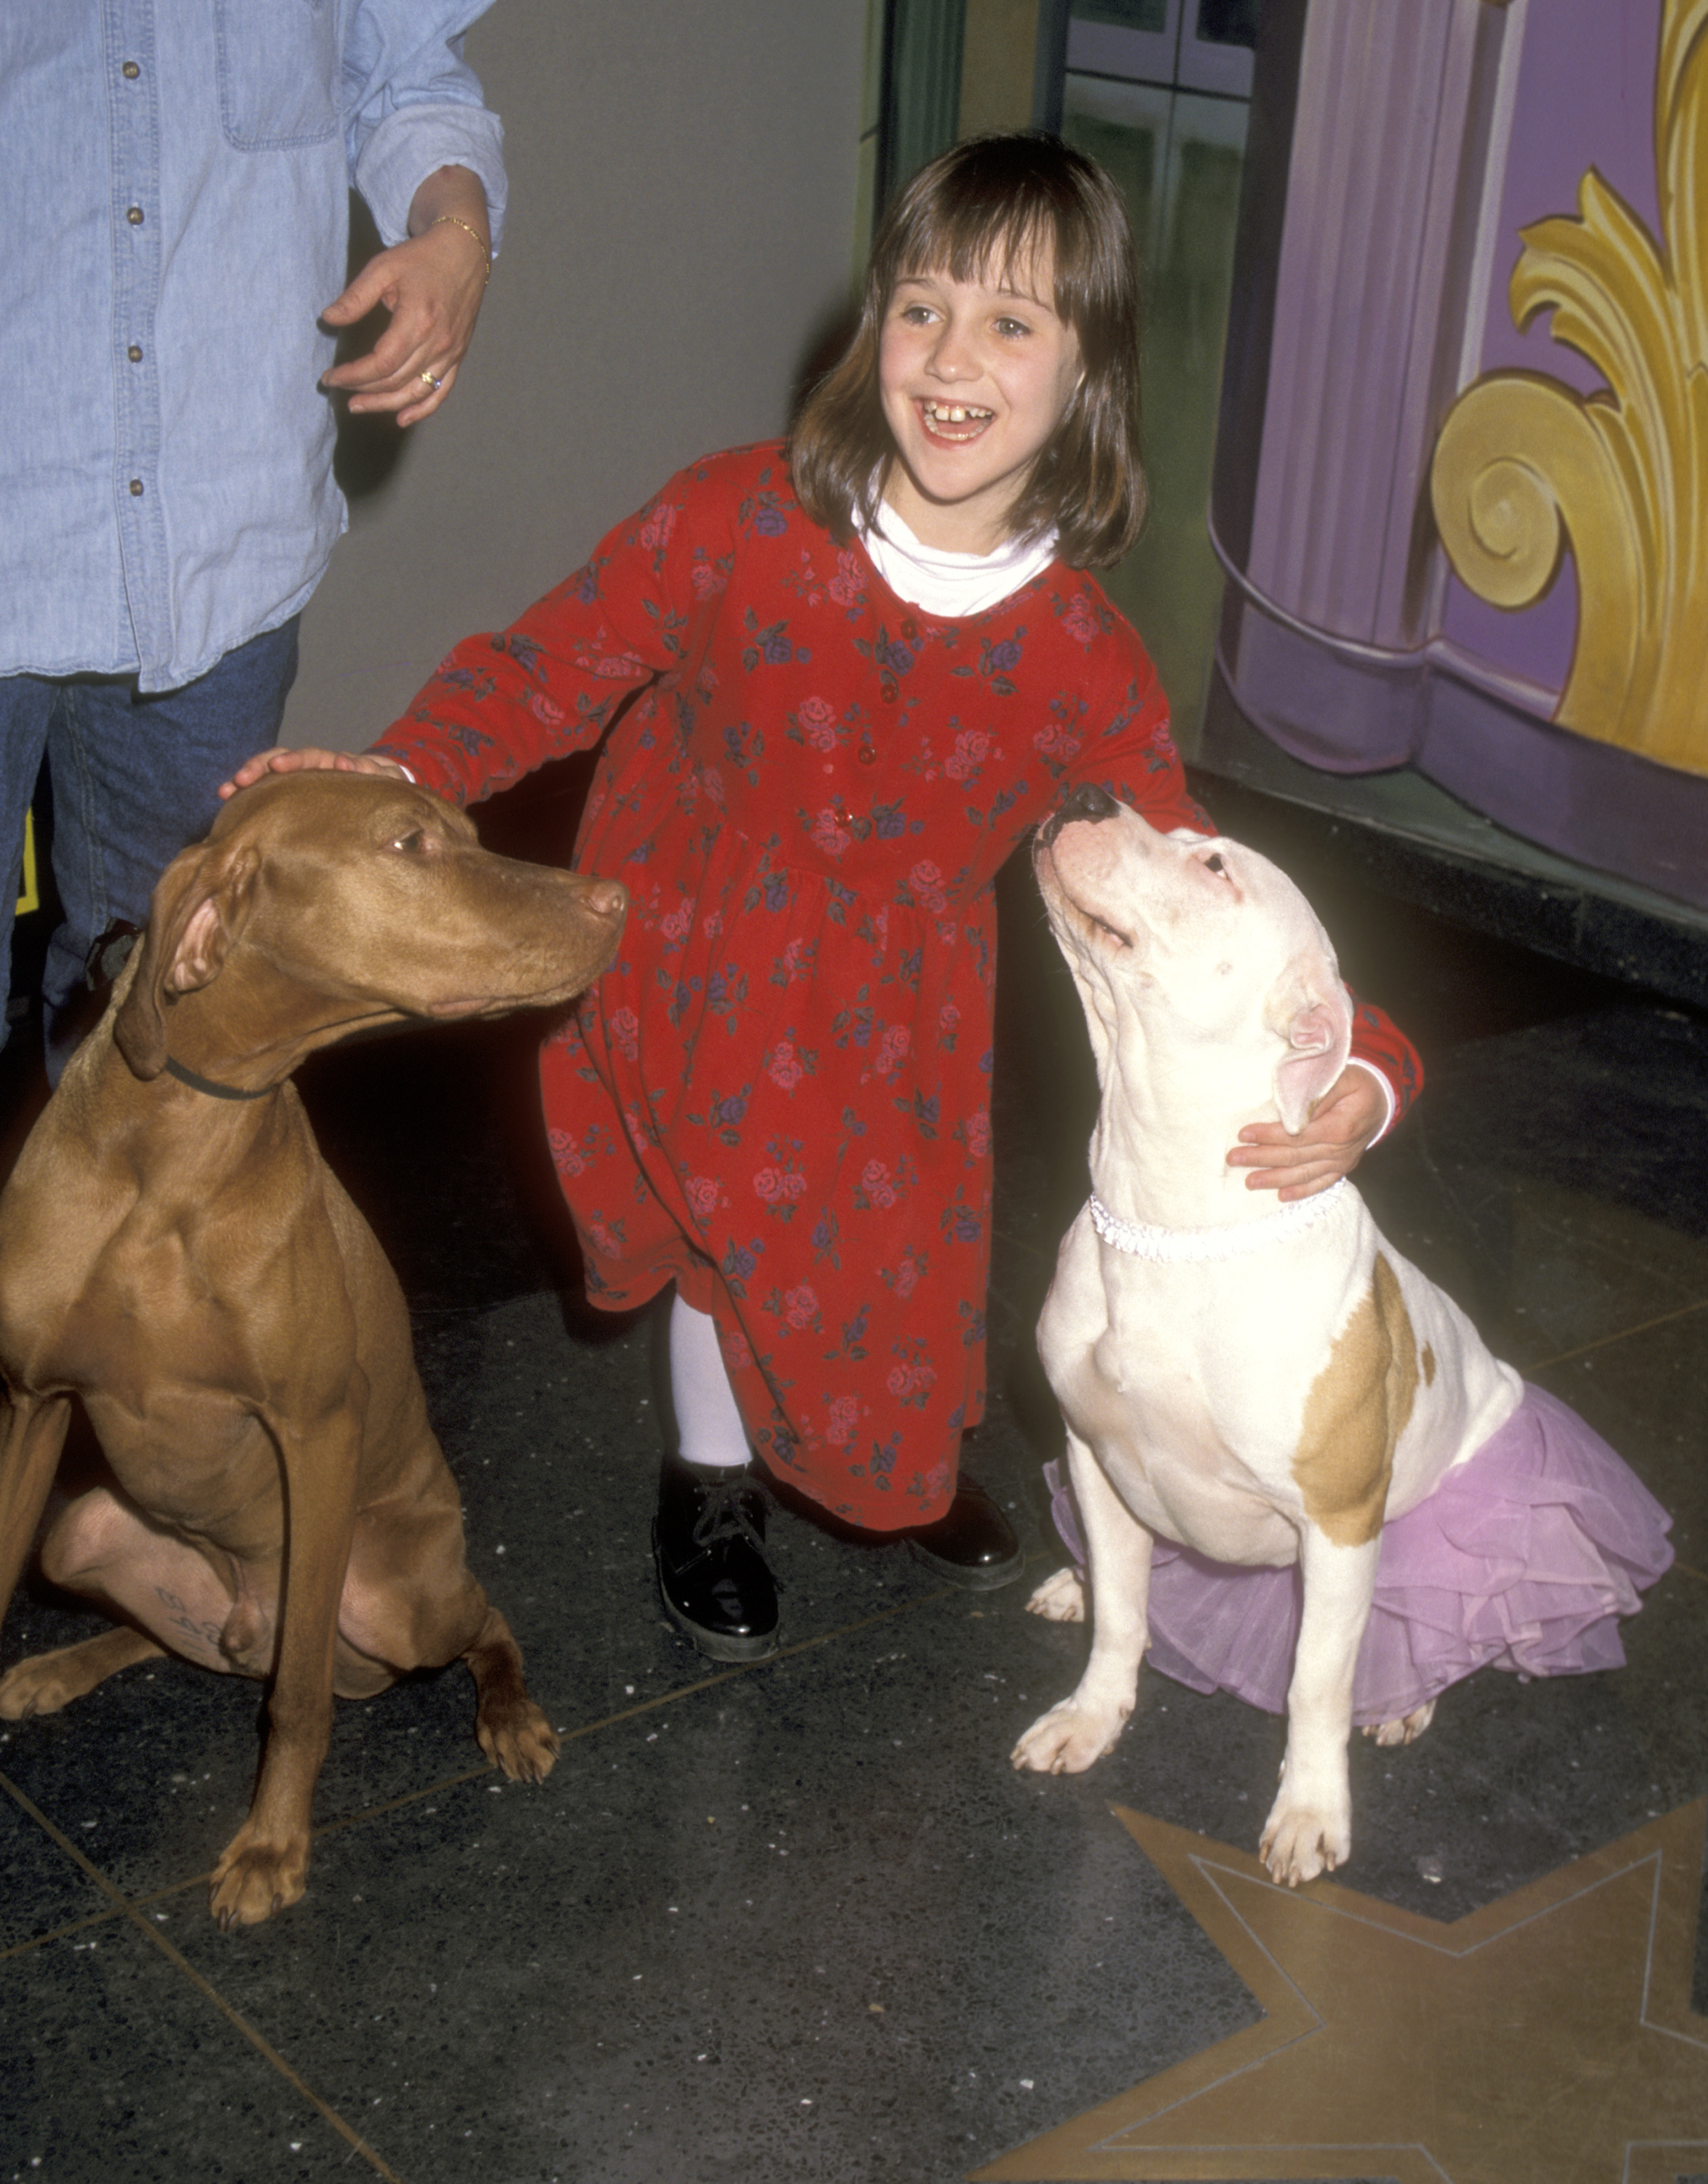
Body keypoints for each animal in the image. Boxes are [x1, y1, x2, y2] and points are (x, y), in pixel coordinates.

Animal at [0, 773, 629, 1931]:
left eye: (467, 832)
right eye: (411, 843)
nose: (615, 898)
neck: (171, 1155)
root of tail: (240, 1615)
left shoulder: (315, 1433)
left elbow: (293, 1706)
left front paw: (271, 1846)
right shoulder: (33, 1403)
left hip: (400, 1604)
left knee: (472, 1623)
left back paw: (509, 1715)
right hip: (83, 1536)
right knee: (165, 1637)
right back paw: (59, 1667)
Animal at [1018, 791, 1669, 1896]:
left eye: (1216, 866)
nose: (1085, 795)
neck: (1168, 1212)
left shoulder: (1336, 1519)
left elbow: (1315, 1684)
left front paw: (1311, 1812)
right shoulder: (1095, 1460)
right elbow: (1123, 1620)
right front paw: (1090, 1716)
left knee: (1455, 1620)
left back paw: (1412, 1696)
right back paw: (1074, 1581)